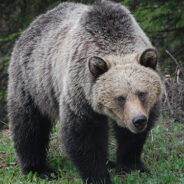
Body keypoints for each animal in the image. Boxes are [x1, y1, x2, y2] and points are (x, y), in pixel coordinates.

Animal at [7, 0, 162, 183]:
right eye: (120, 98)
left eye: (142, 93)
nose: (138, 120)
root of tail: (31, 25)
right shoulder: (80, 93)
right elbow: (83, 134)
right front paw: (98, 176)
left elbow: (132, 138)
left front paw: (131, 165)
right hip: (33, 81)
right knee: (29, 125)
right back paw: (39, 169)